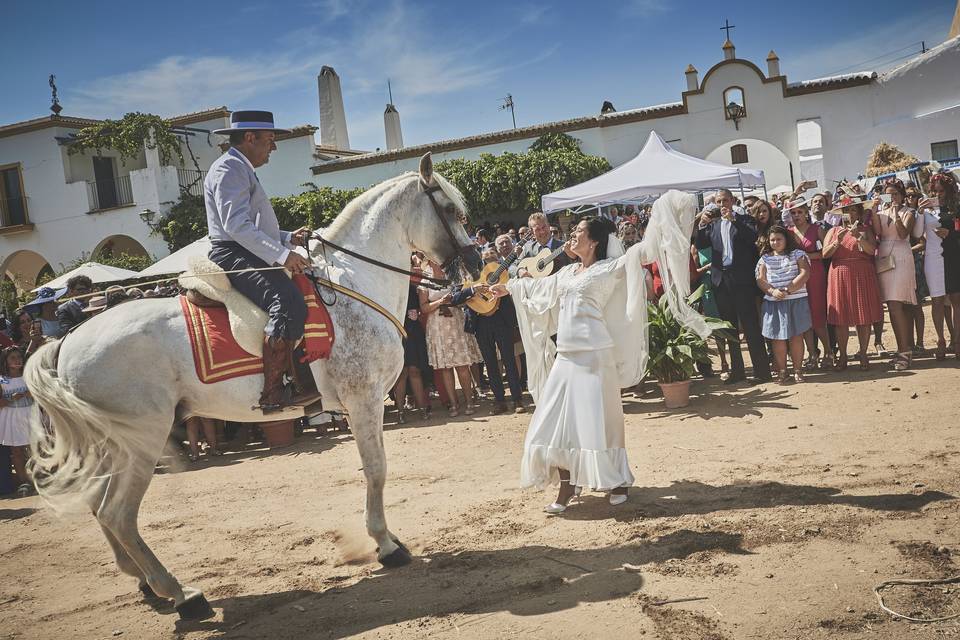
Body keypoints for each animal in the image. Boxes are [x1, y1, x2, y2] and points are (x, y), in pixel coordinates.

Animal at [24, 154, 480, 620]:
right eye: (449, 209)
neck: (353, 284)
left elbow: (376, 468)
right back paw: (183, 595)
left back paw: (146, 584)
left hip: (111, 446)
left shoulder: (366, 403)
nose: (475, 259)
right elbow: (376, 469)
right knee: (117, 513)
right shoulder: (364, 400)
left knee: (99, 507)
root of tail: (67, 341)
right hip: (141, 442)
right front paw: (386, 544)